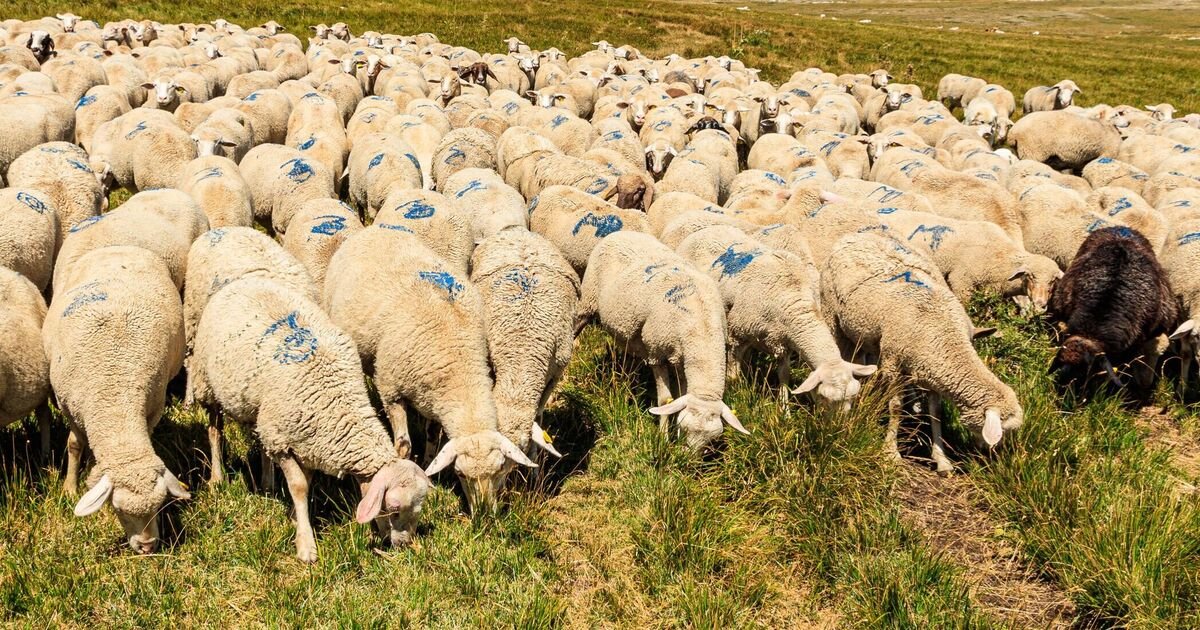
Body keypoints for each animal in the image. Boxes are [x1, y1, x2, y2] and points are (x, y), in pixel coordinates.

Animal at [46, 245, 189, 554]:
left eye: (159, 507)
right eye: (119, 511)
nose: (148, 547)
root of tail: (120, 246)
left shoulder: (152, 408)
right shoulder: (70, 408)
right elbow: (74, 445)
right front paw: (69, 488)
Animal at [324, 226, 536, 511]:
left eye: (500, 469)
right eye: (459, 474)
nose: (484, 514)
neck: (458, 362)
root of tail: (373, 229)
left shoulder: (434, 397)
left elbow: (433, 437)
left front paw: (427, 469)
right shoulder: (391, 390)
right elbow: (403, 445)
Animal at [579, 231, 747, 450]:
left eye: (710, 440)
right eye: (685, 428)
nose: (687, 457)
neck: (701, 324)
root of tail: (620, 233)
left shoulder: (681, 357)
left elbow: (680, 394)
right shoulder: (656, 353)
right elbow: (666, 400)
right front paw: (664, 439)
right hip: (587, 300)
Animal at [676, 225, 876, 402]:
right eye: (824, 397)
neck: (792, 299)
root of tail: (704, 230)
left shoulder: (784, 340)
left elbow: (784, 376)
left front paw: (784, 408)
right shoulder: (737, 333)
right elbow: (733, 375)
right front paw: (737, 396)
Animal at [820, 232, 1023, 473]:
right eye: (1003, 431)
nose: (991, 455)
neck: (946, 337)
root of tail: (857, 234)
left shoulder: (932, 370)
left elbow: (935, 413)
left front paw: (942, 459)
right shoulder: (893, 363)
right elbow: (896, 407)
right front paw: (891, 452)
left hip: (866, 335)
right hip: (833, 315)